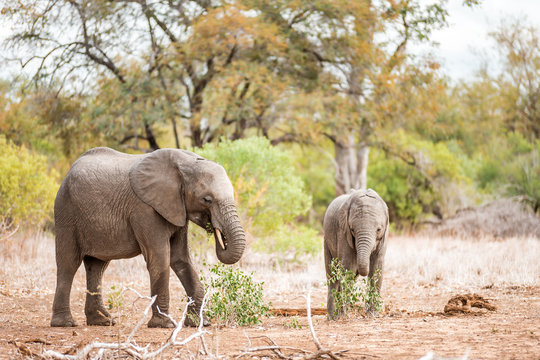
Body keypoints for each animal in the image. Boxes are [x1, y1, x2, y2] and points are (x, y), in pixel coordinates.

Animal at [50, 147, 245, 330]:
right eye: (207, 200)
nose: (218, 233)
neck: (186, 164)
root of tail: (69, 170)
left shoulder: (177, 208)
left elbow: (180, 258)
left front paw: (199, 324)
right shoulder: (145, 210)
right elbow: (160, 258)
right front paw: (165, 325)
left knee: (97, 266)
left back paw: (103, 321)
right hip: (65, 212)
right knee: (69, 263)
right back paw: (65, 323)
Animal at [324, 188, 388, 318]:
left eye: (379, 229)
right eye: (352, 229)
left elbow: (376, 269)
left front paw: (372, 314)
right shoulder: (343, 232)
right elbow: (348, 268)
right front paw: (344, 316)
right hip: (326, 240)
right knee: (332, 275)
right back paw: (333, 317)